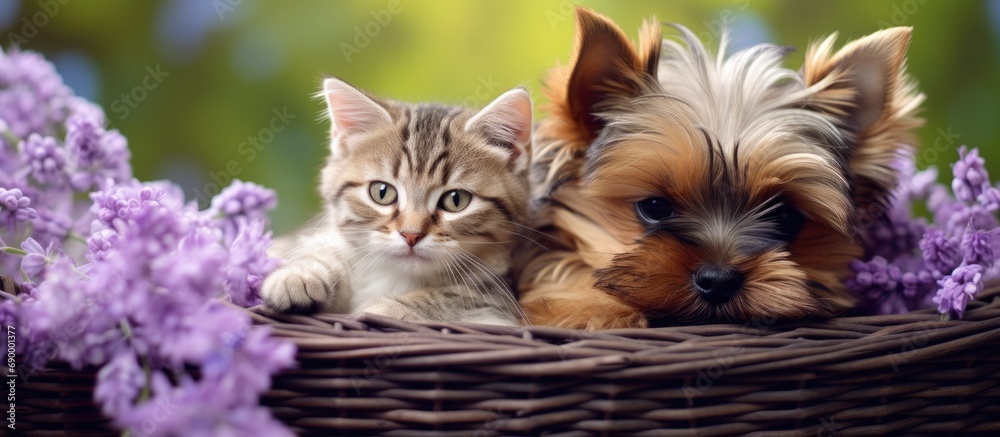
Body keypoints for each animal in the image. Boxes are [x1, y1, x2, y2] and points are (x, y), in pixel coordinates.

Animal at [262, 77, 536, 328]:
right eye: (382, 192)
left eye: (456, 200)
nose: (411, 235)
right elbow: (326, 250)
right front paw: (299, 275)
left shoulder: (497, 302)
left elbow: (454, 297)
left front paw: (385, 306)